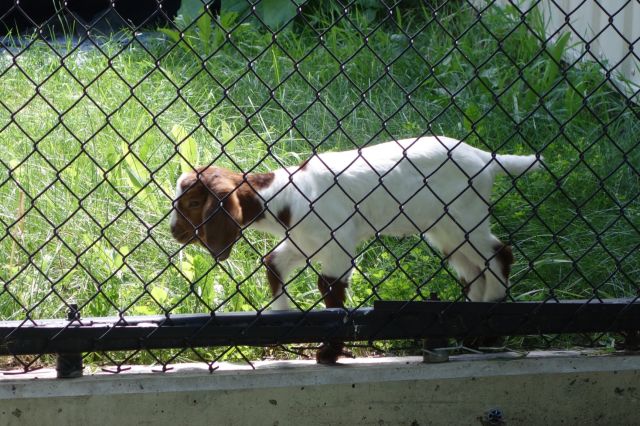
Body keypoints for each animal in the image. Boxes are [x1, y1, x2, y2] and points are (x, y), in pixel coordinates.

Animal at [169, 136, 540, 362]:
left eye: (193, 202)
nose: (174, 232)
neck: (289, 196)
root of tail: (486, 158)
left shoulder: (338, 244)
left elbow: (330, 291)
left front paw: (329, 352)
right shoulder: (303, 243)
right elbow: (272, 263)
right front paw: (281, 318)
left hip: (464, 218)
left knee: (499, 255)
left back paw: (489, 330)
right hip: (445, 230)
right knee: (474, 271)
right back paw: (471, 331)